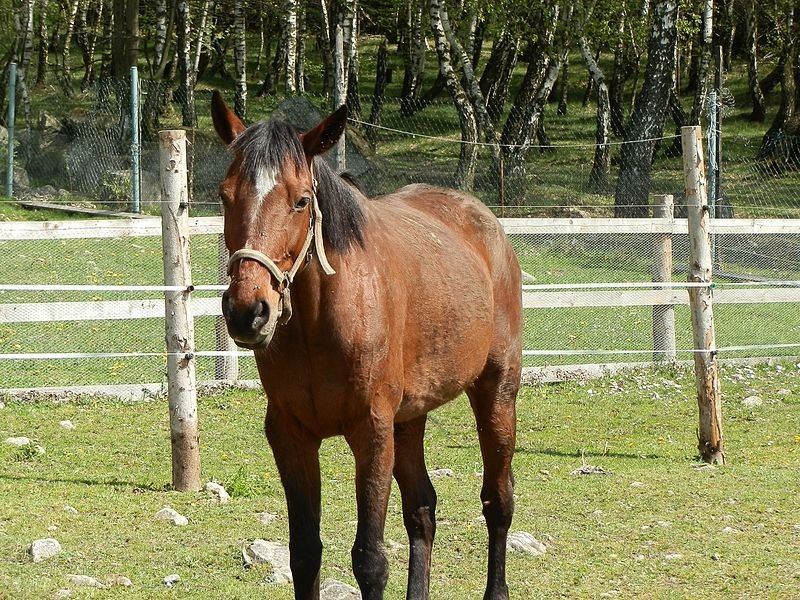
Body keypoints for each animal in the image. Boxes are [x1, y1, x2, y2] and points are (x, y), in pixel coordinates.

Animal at [212, 90, 524, 600]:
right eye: (225, 196)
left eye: (301, 201)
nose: (247, 310)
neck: (321, 325)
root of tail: (485, 222)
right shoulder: (291, 436)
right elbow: (305, 553)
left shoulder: (372, 432)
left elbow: (370, 560)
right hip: (410, 417)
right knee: (422, 509)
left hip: (496, 392)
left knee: (498, 500)